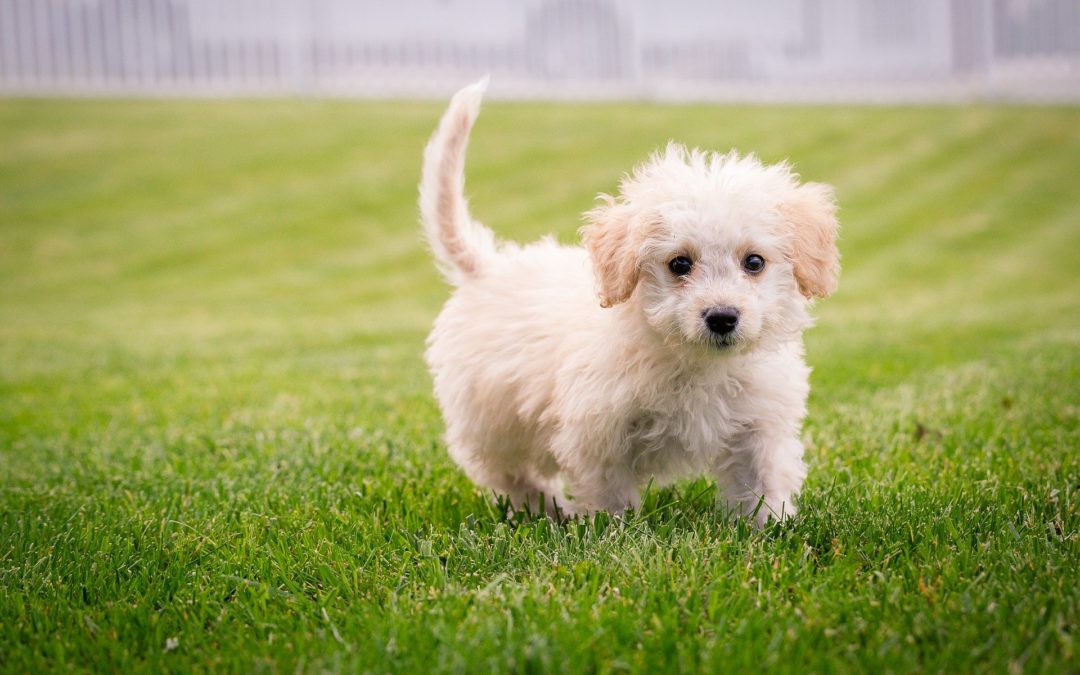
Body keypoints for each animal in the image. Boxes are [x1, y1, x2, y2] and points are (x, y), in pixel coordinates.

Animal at [416, 80, 838, 527]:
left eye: (754, 262)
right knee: (512, 475)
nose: (722, 317)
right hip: (492, 421)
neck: (694, 362)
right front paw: (613, 531)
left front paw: (770, 527)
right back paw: (550, 511)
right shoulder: (596, 434)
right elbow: (610, 496)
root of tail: (488, 265)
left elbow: (763, 483)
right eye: (679, 264)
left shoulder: (759, 426)